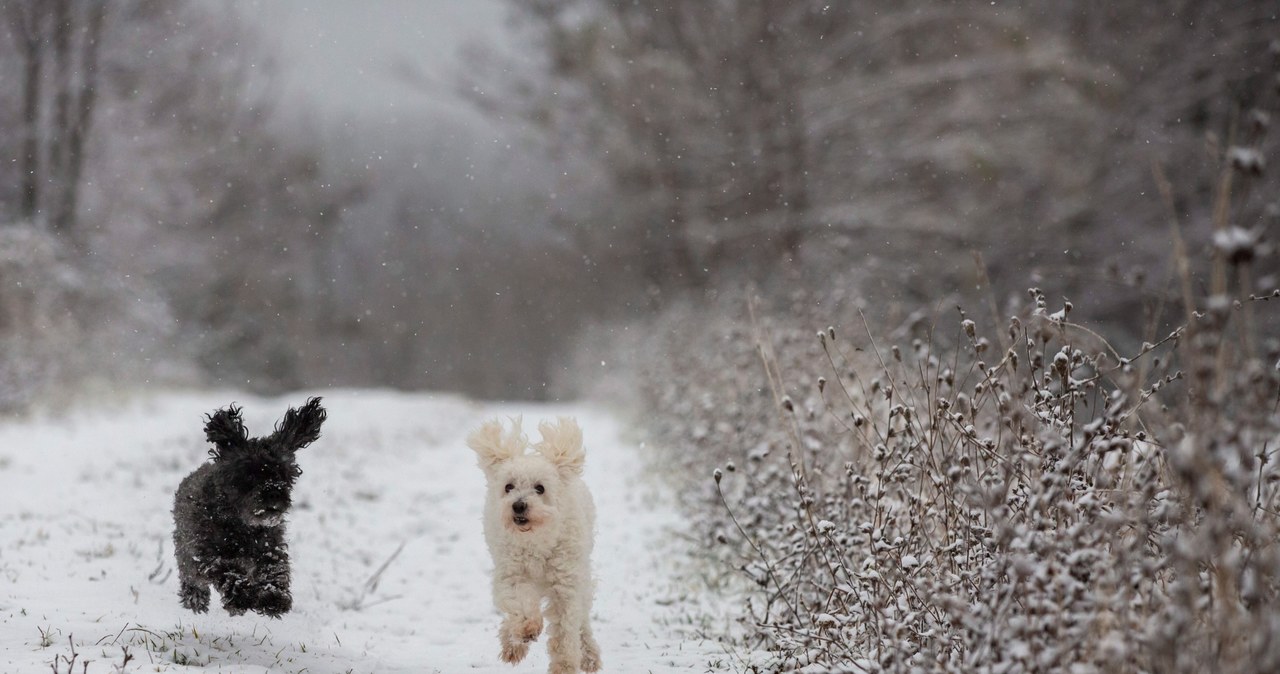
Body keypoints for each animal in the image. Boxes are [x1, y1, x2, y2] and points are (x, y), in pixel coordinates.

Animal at [172, 399, 327, 619]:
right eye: (249, 474)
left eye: (283, 473)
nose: (273, 493)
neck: (242, 525)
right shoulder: (207, 553)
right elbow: (227, 571)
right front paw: (242, 597)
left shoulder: (270, 545)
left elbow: (274, 568)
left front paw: (273, 598)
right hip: (186, 554)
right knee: (192, 578)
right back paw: (195, 601)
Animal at [468, 416, 601, 674]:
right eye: (508, 486)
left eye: (540, 488)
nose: (518, 505)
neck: (536, 540)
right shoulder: (512, 575)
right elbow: (520, 604)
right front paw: (527, 628)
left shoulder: (565, 584)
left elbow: (565, 630)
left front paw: (565, 666)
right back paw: (512, 643)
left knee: (582, 619)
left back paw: (589, 655)